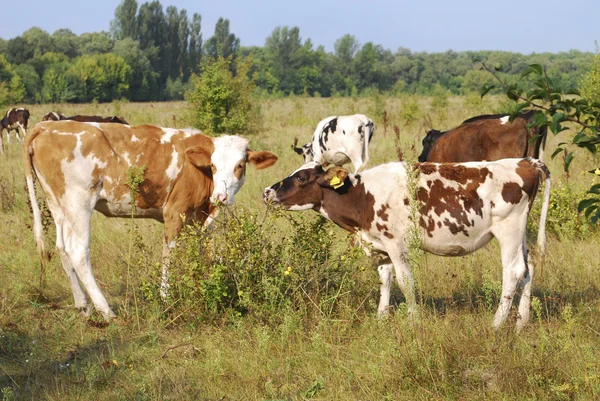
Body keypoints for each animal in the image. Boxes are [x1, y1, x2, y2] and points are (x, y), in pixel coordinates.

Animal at [23, 120, 276, 320]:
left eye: (240, 165)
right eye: (213, 166)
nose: (220, 197)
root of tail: (46, 126)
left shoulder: (200, 219)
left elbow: (202, 253)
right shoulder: (174, 211)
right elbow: (169, 255)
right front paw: (165, 298)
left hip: (57, 204)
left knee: (62, 248)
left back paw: (83, 305)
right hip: (79, 202)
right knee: (78, 252)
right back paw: (106, 311)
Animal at [264, 158, 552, 330]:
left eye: (301, 177)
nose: (267, 191)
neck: (362, 195)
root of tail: (524, 161)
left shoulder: (397, 244)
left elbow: (405, 282)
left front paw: (413, 321)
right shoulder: (380, 246)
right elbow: (385, 280)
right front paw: (381, 319)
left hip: (509, 229)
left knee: (513, 271)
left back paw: (497, 324)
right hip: (520, 232)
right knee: (528, 268)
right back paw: (521, 322)